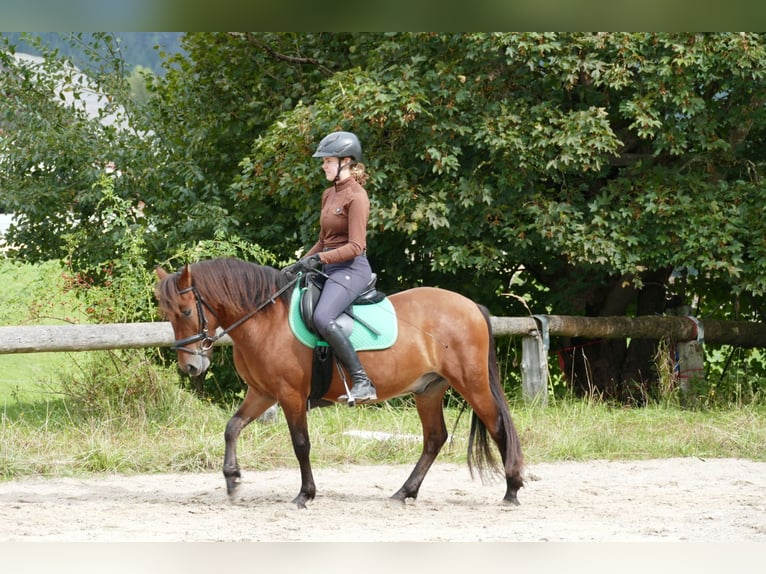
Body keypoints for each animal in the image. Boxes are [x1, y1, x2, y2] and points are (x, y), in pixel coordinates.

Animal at [156, 258, 528, 510]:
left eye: (186, 311)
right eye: (166, 314)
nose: (191, 366)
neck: (265, 318)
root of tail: (471, 306)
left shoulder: (290, 395)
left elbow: (301, 444)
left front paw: (304, 494)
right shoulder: (261, 393)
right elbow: (232, 427)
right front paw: (232, 480)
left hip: (471, 383)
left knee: (497, 426)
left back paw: (511, 490)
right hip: (428, 389)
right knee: (435, 438)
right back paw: (404, 492)